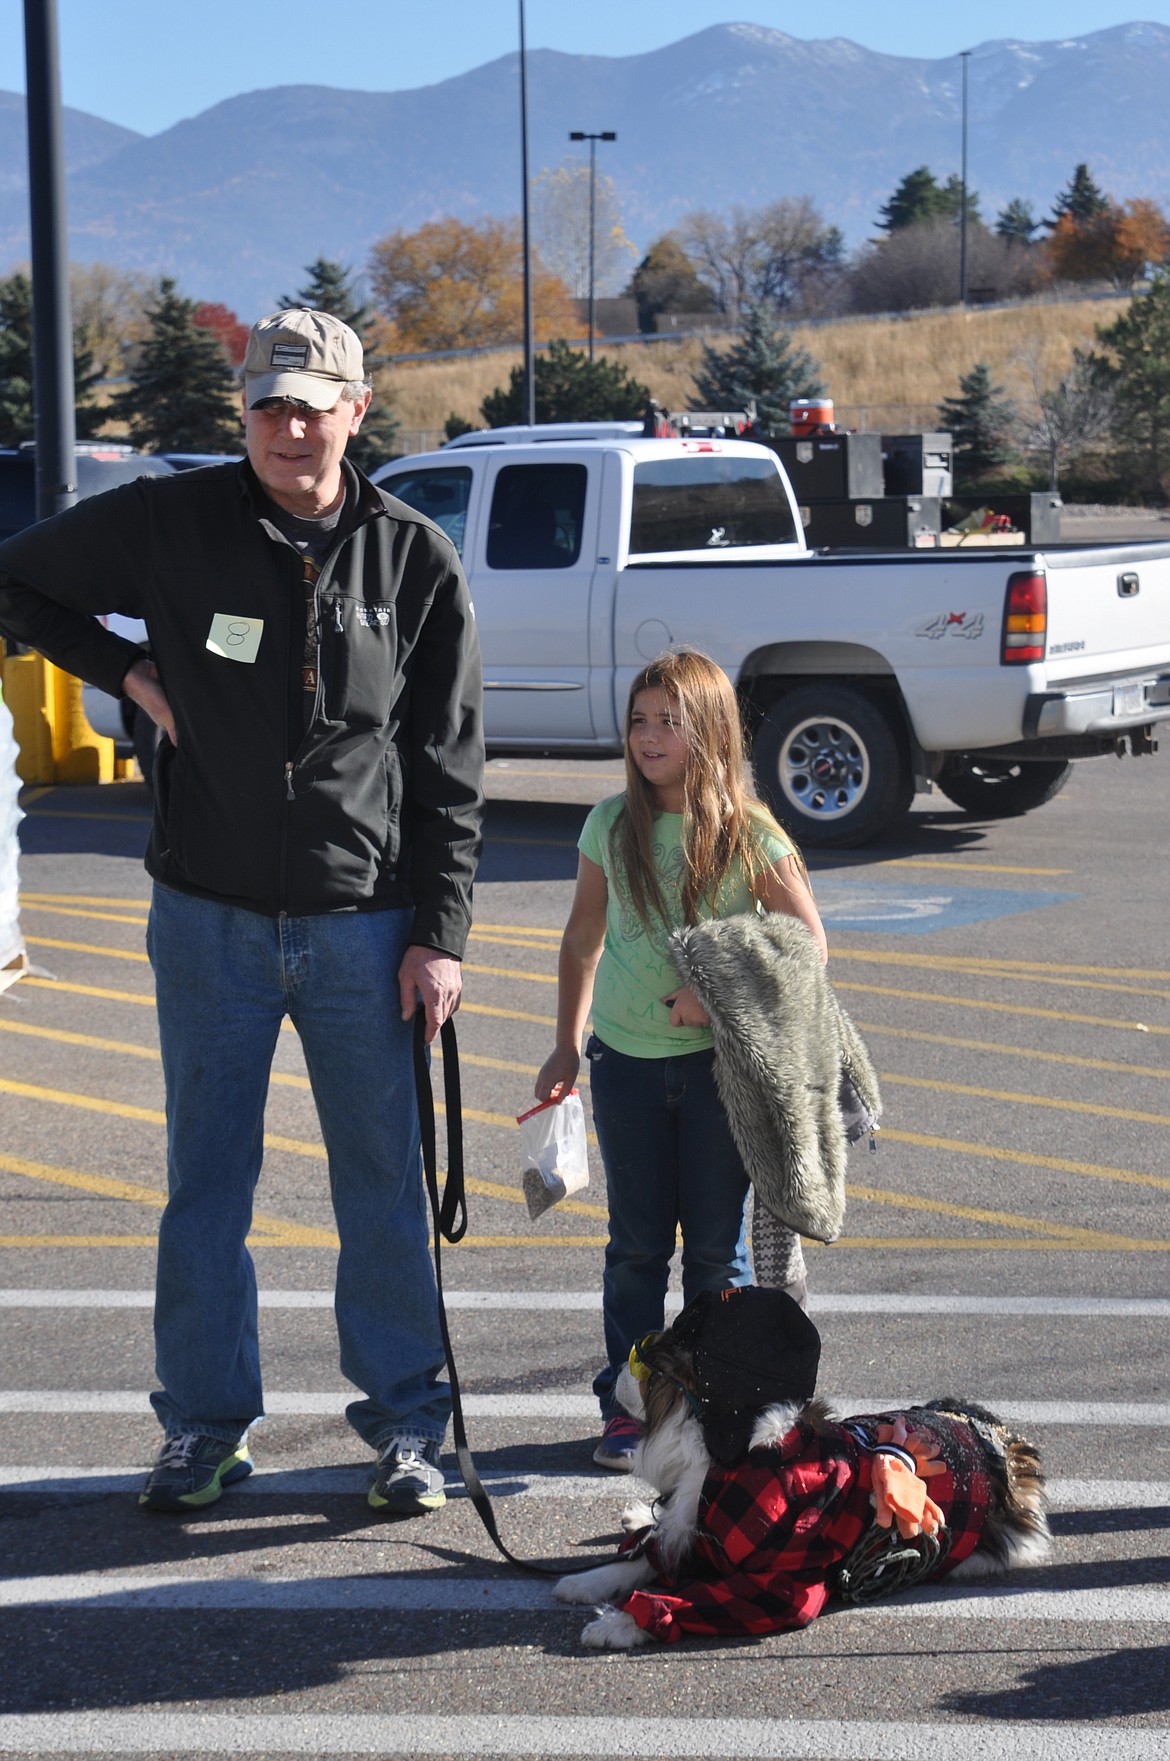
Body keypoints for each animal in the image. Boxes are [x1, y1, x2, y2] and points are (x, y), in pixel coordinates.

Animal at [556, 1289, 1050, 1641]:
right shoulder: (696, 1533)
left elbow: (692, 1594)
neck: (726, 1454)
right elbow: (642, 1555)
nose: (617, 1374)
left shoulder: (781, 1586)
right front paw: (585, 1582)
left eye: (643, 1362)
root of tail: (1001, 1439)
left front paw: (619, 1623)